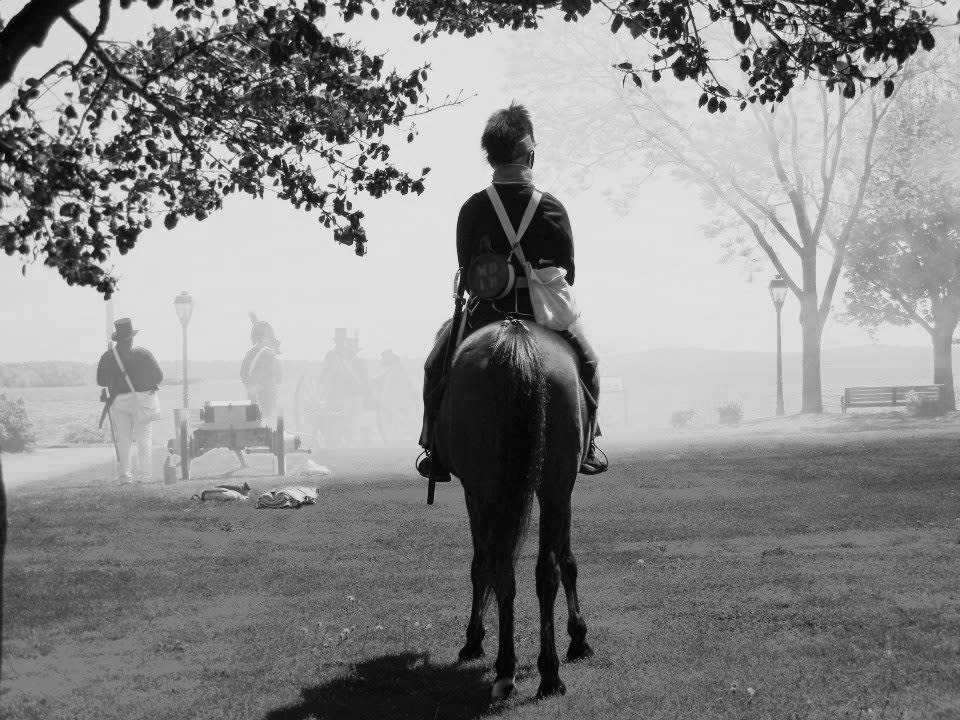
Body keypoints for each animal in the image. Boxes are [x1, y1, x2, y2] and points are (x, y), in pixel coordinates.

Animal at [434, 320, 592, 696]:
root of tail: (516, 336)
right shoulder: (562, 490)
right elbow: (567, 561)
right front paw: (578, 638)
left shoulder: (475, 492)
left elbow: (481, 565)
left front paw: (473, 640)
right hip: (552, 485)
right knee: (543, 570)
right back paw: (547, 673)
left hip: (489, 489)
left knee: (502, 568)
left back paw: (508, 669)